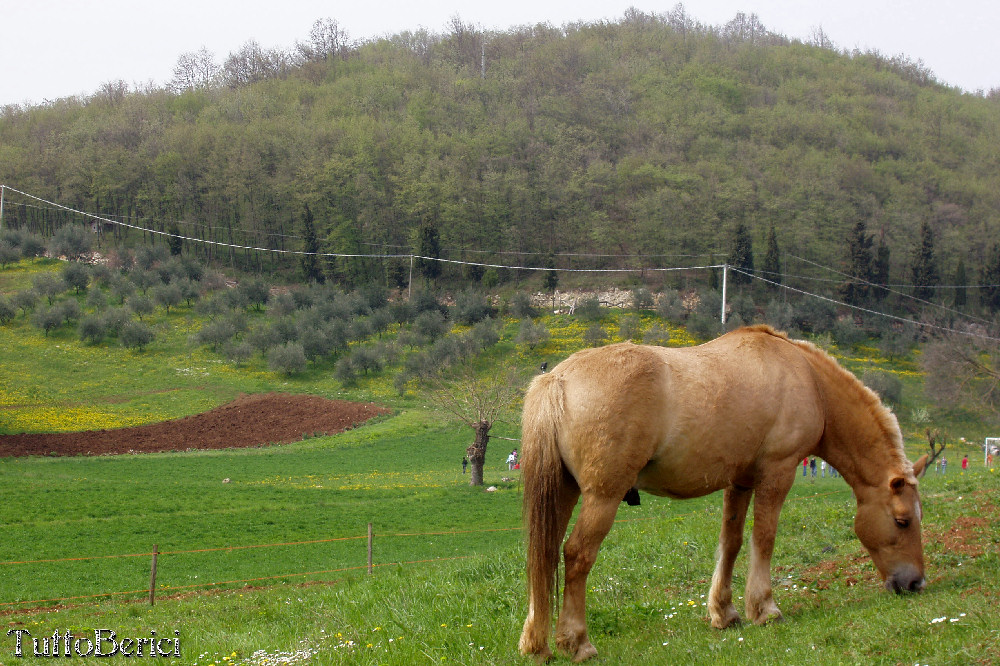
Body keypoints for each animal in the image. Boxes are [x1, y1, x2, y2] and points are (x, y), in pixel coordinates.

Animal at [520, 322, 924, 660]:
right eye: (902, 521)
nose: (915, 582)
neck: (807, 378)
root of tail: (557, 378)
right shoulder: (778, 473)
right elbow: (764, 537)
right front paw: (765, 608)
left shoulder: (740, 481)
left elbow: (731, 542)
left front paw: (724, 612)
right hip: (602, 497)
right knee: (576, 556)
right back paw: (578, 642)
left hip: (564, 492)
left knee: (544, 555)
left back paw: (536, 643)